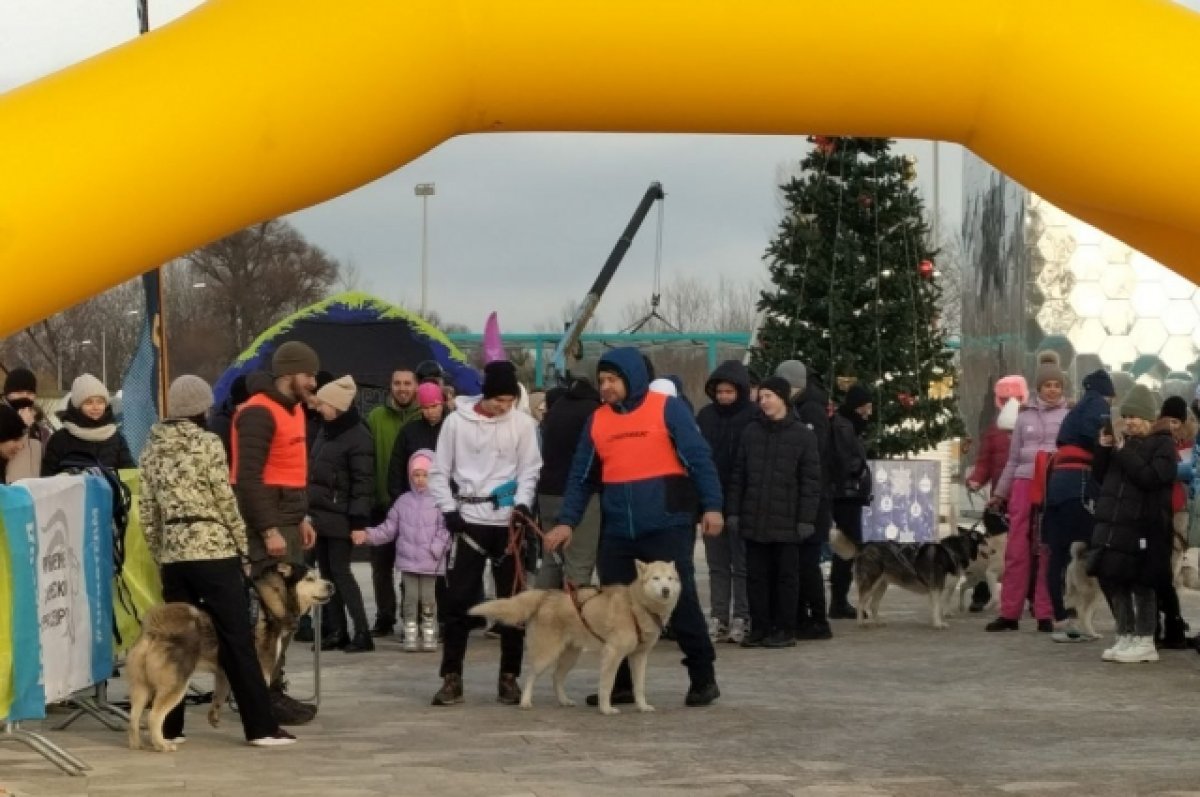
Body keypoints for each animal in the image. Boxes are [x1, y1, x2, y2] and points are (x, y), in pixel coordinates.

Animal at [125, 559, 333, 753]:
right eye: (310, 579)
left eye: (318, 576)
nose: (331, 585)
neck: (273, 601)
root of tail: (153, 629)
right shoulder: (262, 669)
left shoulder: (224, 671)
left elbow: (220, 693)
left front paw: (214, 715)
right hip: (175, 684)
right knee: (153, 716)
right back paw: (162, 745)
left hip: (141, 685)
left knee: (134, 716)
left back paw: (137, 744)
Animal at [468, 559, 681, 715]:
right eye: (656, 578)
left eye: (670, 579)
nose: (666, 590)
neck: (636, 604)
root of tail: (546, 595)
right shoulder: (612, 654)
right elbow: (607, 685)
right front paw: (605, 709)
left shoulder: (639, 656)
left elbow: (639, 686)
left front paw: (642, 706)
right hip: (547, 654)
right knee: (531, 675)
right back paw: (525, 702)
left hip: (570, 656)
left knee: (556, 677)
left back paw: (563, 701)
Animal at [830, 525, 988, 633]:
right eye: (985, 541)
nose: (993, 550)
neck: (952, 552)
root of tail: (864, 545)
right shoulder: (936, 588)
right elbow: (938, 608)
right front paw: (939, 624)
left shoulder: (936, 590)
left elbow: (937, 607)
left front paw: (935, 622)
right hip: (870, 583)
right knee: (861, 603)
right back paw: (861, 623)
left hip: (882, 585)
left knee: (873, 605)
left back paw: (878, 622)